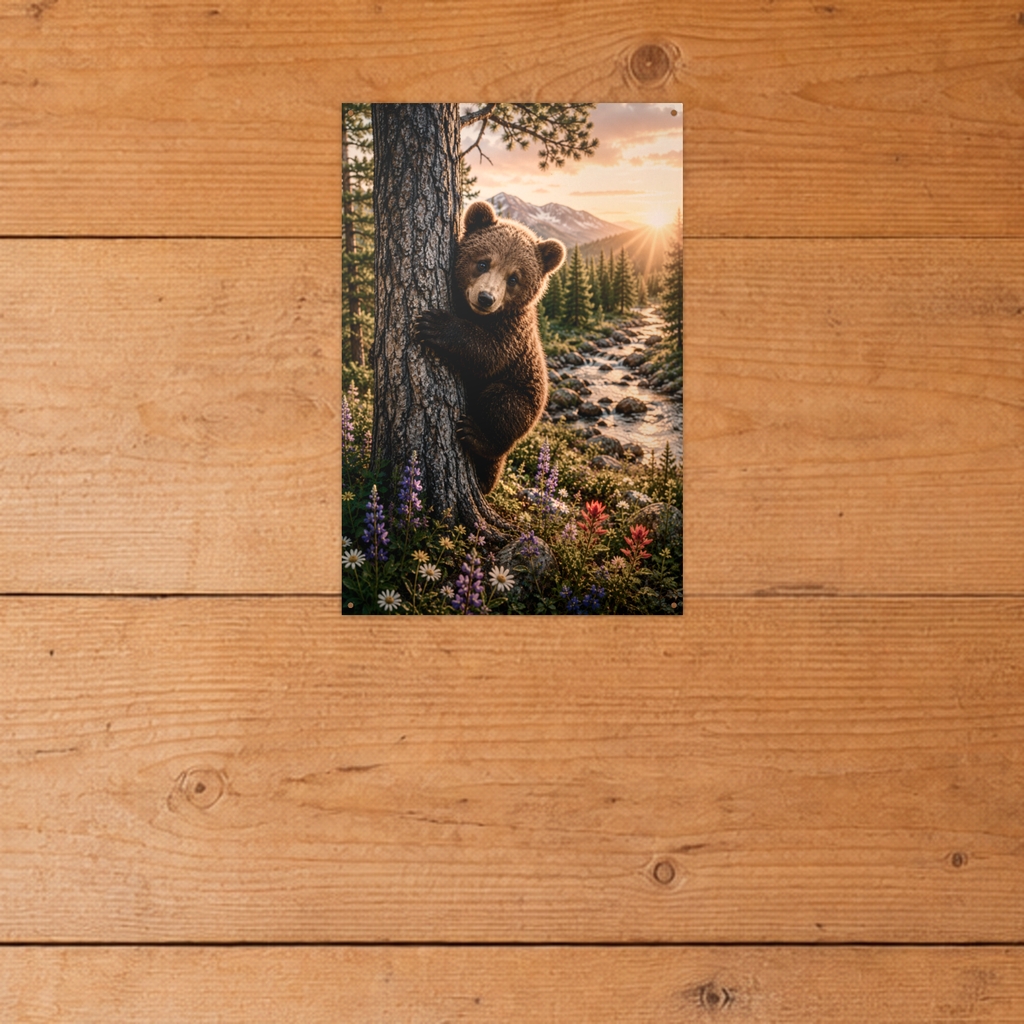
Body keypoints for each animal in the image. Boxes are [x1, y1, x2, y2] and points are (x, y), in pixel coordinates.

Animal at [413, 200, 565, 494]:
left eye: (514, 278)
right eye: (483, 262)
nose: (486, 298)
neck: (477, 316)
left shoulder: (513, 332)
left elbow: (489, 354)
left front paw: (435, 324)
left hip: (525, 396)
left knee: (501, 406)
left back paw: (477, 437)